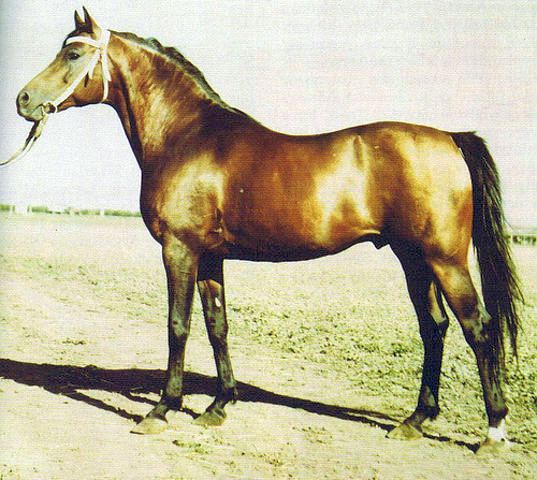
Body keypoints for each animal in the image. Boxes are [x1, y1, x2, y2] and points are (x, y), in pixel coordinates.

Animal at [12, 8, 523, 454]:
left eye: (73, 53)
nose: (23, 101)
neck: (187, 137)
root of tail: (451, 138)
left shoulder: (179, 250)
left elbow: (178, 325)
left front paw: (161, 410)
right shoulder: (209, 257)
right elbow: (217, 325)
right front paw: (218, 406)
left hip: (444, 259)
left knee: (477, 327)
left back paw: (493, 433)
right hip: (411, 257)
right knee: (434, 328)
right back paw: (415, 421)